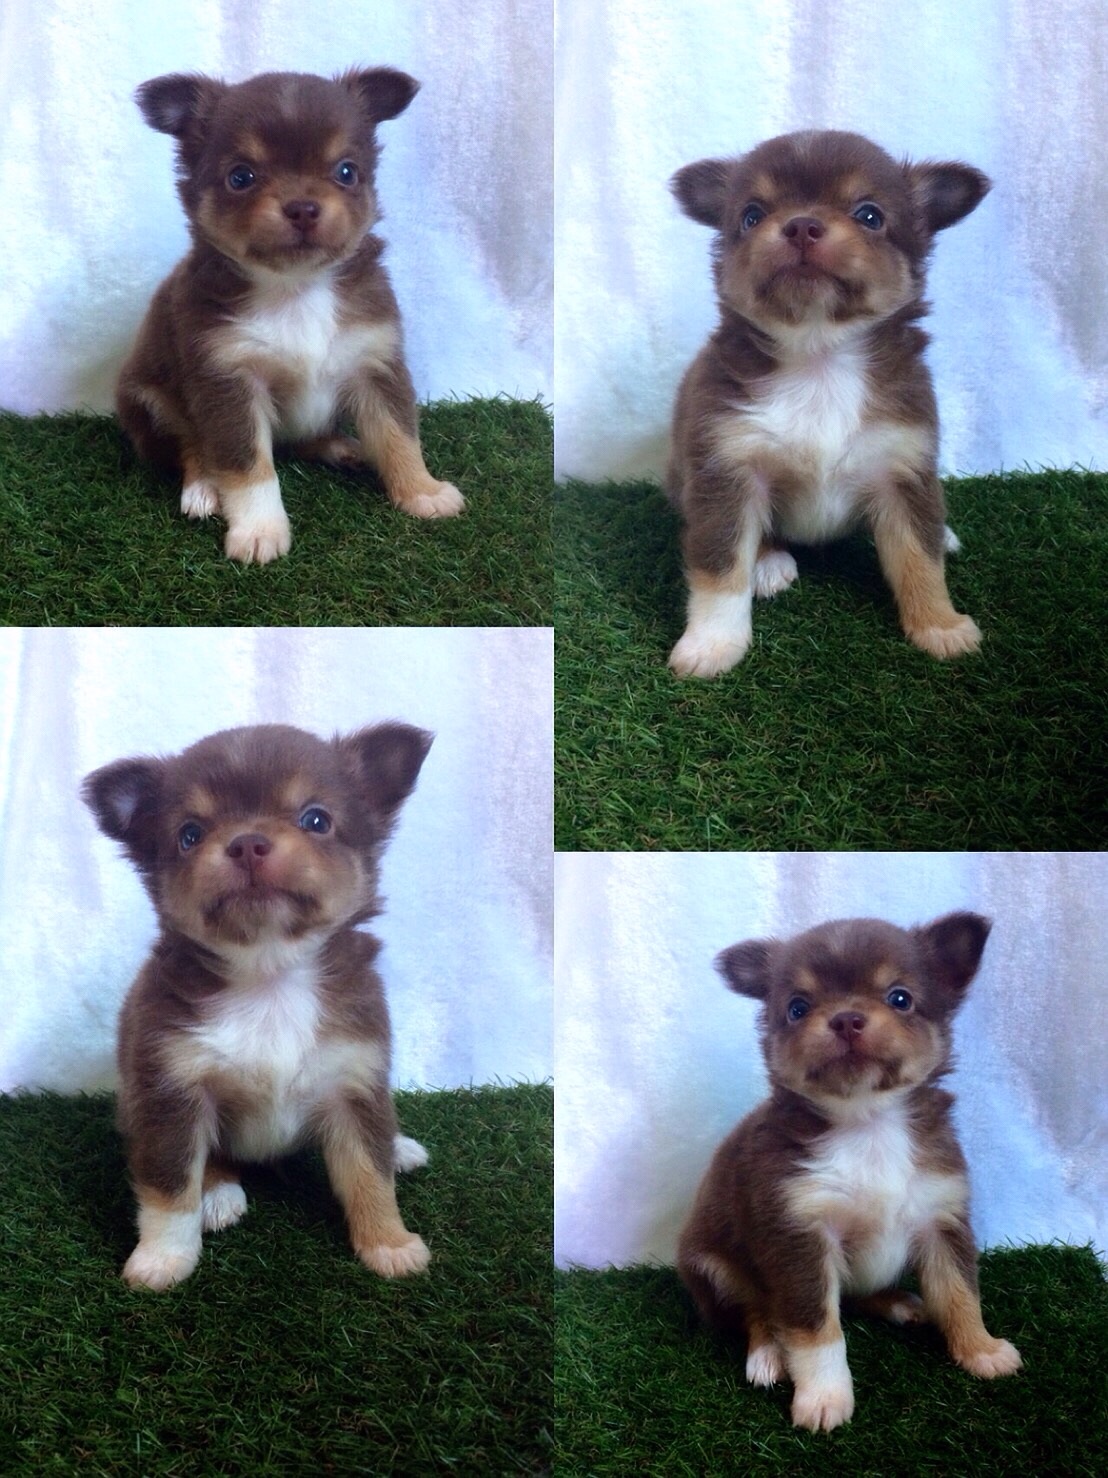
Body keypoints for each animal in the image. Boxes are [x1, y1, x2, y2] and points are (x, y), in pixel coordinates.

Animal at [82, 721, 433, 1291]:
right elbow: (169, 1187)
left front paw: (389, 1243)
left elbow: (369, 1173)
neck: (269, 979)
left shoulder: (354, 1081)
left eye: (316, 819)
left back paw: (400, 1147)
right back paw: (218, 1193)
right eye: (189, 834)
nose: (247, 842)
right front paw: (163, 1258)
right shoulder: (171, 1093)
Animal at [117, 68, 463, 564]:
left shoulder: (375, 362)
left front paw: (422, 491)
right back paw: (202, 488)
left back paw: (342, 448)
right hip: (151, 398)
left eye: (346, 172)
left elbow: (399, 434)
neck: (295, 288)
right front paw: (258, 529)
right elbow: (247, 465)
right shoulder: (228, 380)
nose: (303, 207)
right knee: (191, 444)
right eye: (241, 177)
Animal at [666, 130, 990, 675]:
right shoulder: (726, 471)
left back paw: (944, 534)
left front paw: (940, 626)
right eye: (751, 215)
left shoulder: (903, 466)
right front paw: (711, 644)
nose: (801, 225)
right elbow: (720, 568)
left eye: (870, 215)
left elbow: (919, 559)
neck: (819, 359)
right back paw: (769, 561)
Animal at [677, 912, 1021, 1431]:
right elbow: (816, 1328)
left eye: (900, 998)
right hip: (714, 1265)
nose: (845, 1018)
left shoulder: (940, 1217)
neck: (867, 1122)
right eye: (797, 1008)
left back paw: (900, 1303)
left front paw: (981, 1350)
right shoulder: (799, 1236)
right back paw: (767, 1355)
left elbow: (960, 1292)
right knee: (756, 1310)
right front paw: (823, 1397)